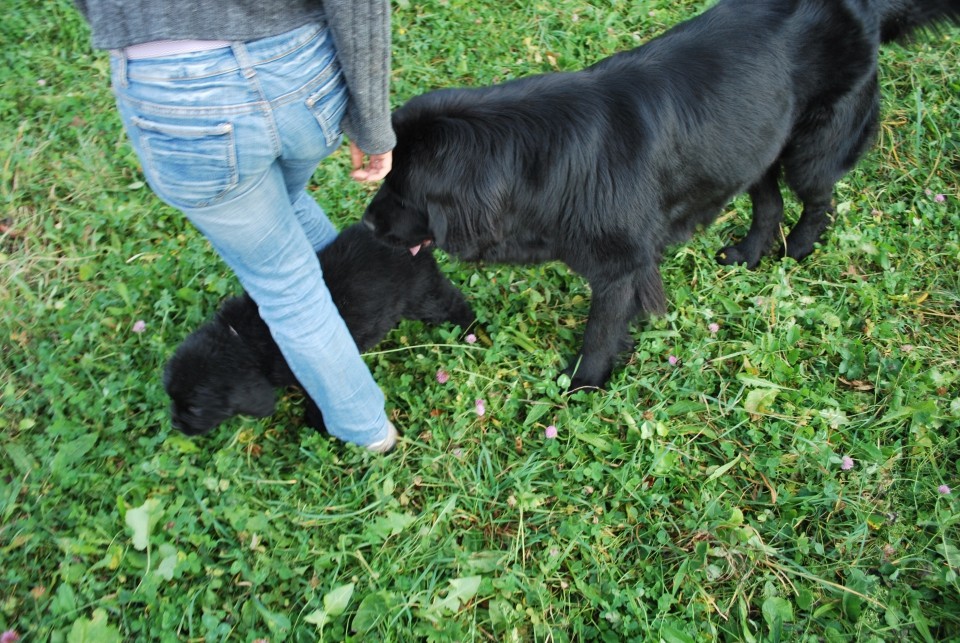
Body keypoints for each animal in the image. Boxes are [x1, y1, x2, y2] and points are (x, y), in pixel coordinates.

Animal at [168, 224, 476, 436]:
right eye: (171, 396)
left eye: (195, 408)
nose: (175, 425)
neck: (240, 340)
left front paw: (318, 425)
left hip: (421, 294)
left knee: (452, 303)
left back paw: (470, 331)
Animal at [362, 0, 960, 390]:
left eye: (400, 190)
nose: (365, 226)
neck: (537, 163)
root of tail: (856, 3)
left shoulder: (619, 267)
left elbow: (600, 331)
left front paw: (582, 385)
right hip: (751, 141)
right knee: (768, 200)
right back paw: (750, 253)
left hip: (810, 147)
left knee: (818, 198)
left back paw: (800, 247)